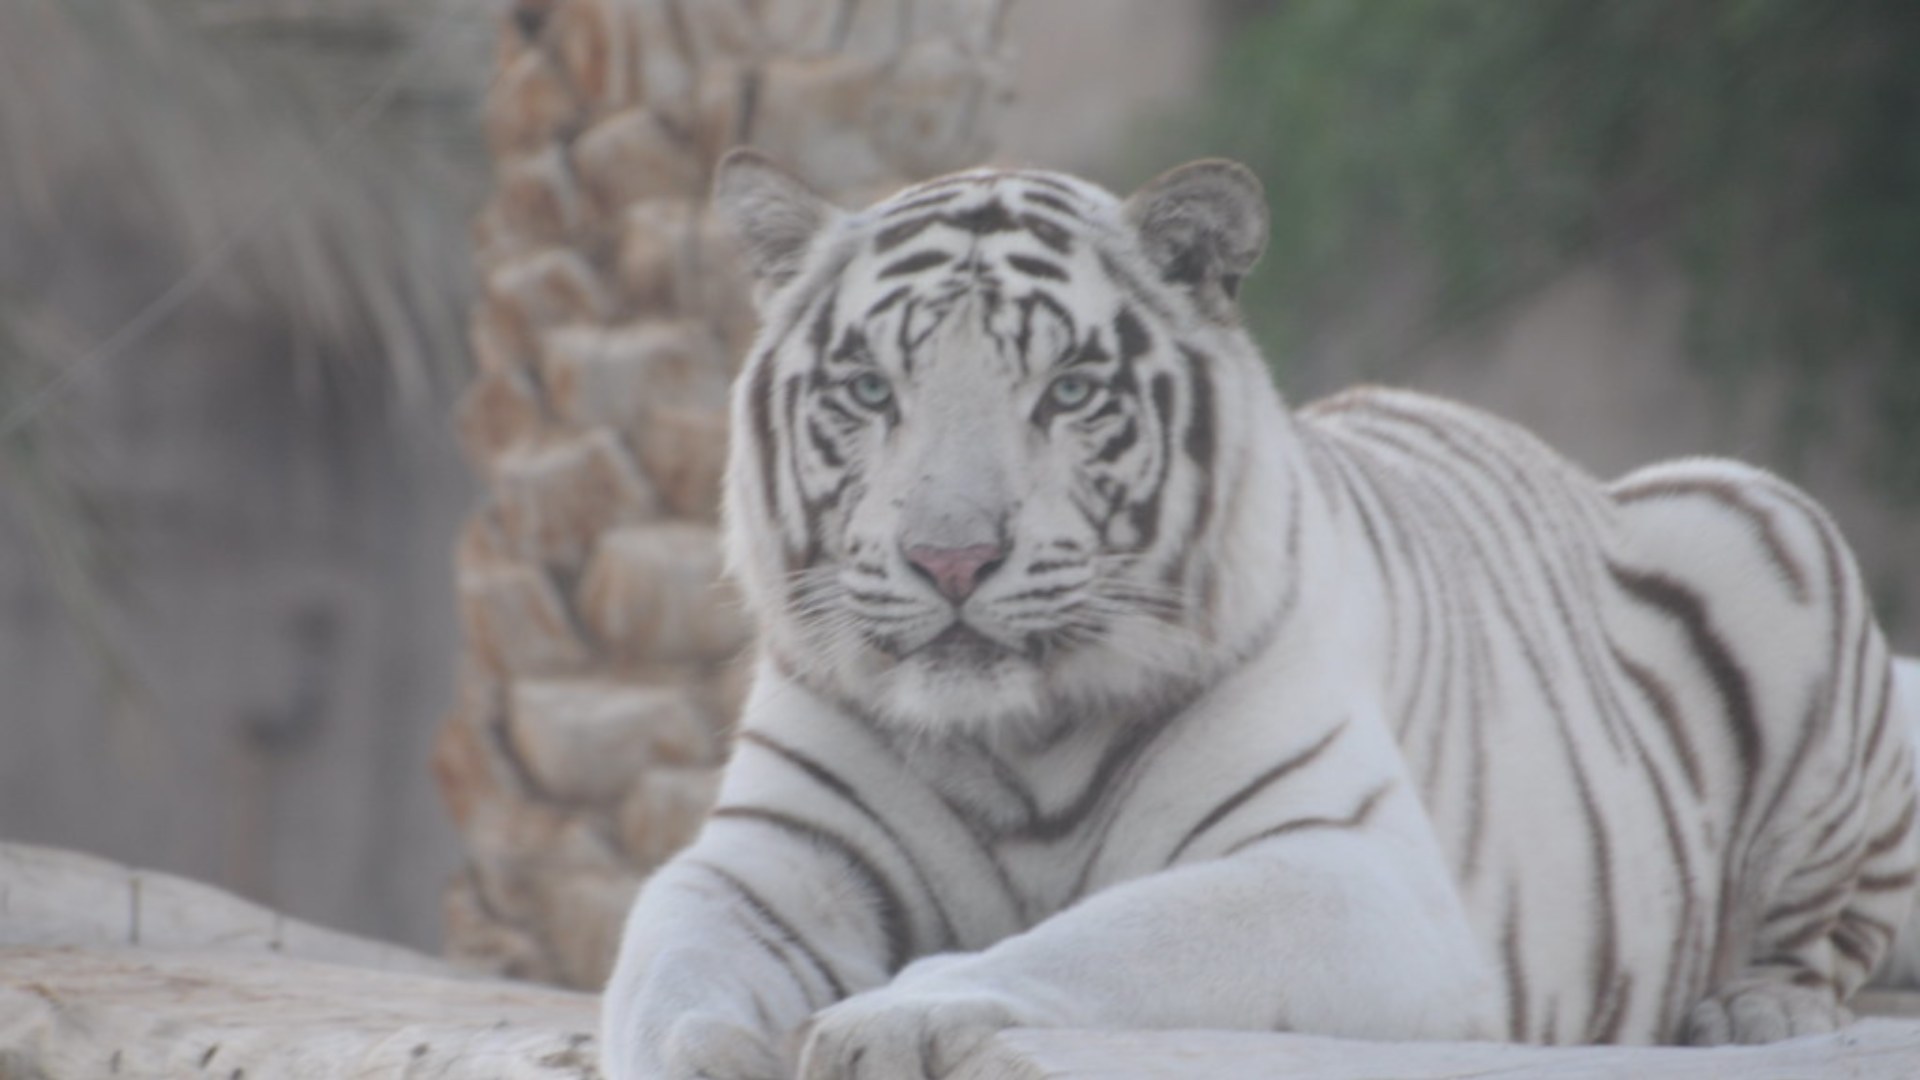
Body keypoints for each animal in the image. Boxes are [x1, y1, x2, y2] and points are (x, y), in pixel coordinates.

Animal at [599, 150, 1920, 1080]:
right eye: (872, 390)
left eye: (1067, 391)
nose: (952, 558)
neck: (1017, 736)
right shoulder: (768, 860)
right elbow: (662, 971)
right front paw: (708, 1051)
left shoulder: (1349, 872)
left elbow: (1110, 939)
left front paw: (890, 1013)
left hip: (1760, 521)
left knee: (1835, 930)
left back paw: (1749, 1008)